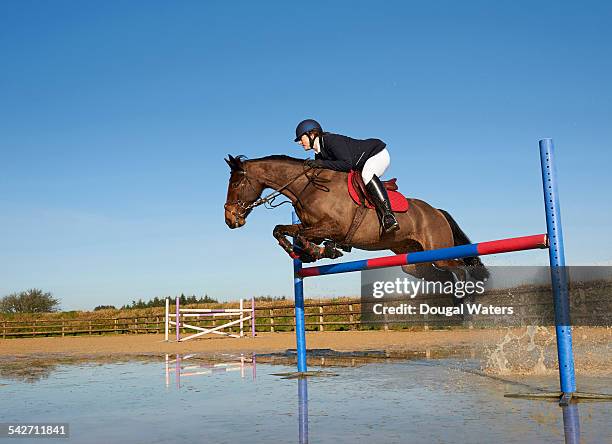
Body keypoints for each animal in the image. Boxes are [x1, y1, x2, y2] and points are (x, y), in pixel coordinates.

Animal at [225, 154, 488, 282]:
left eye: (236, 183)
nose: (230, 219)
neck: (308, 188)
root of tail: (437, 211)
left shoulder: (334, 227)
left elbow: (297, 233)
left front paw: (320, 251)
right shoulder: (312, 226)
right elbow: (282, 229)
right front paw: (308, 252)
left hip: (440, 252)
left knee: (460, 268)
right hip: (413, 261)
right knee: (437, 275)